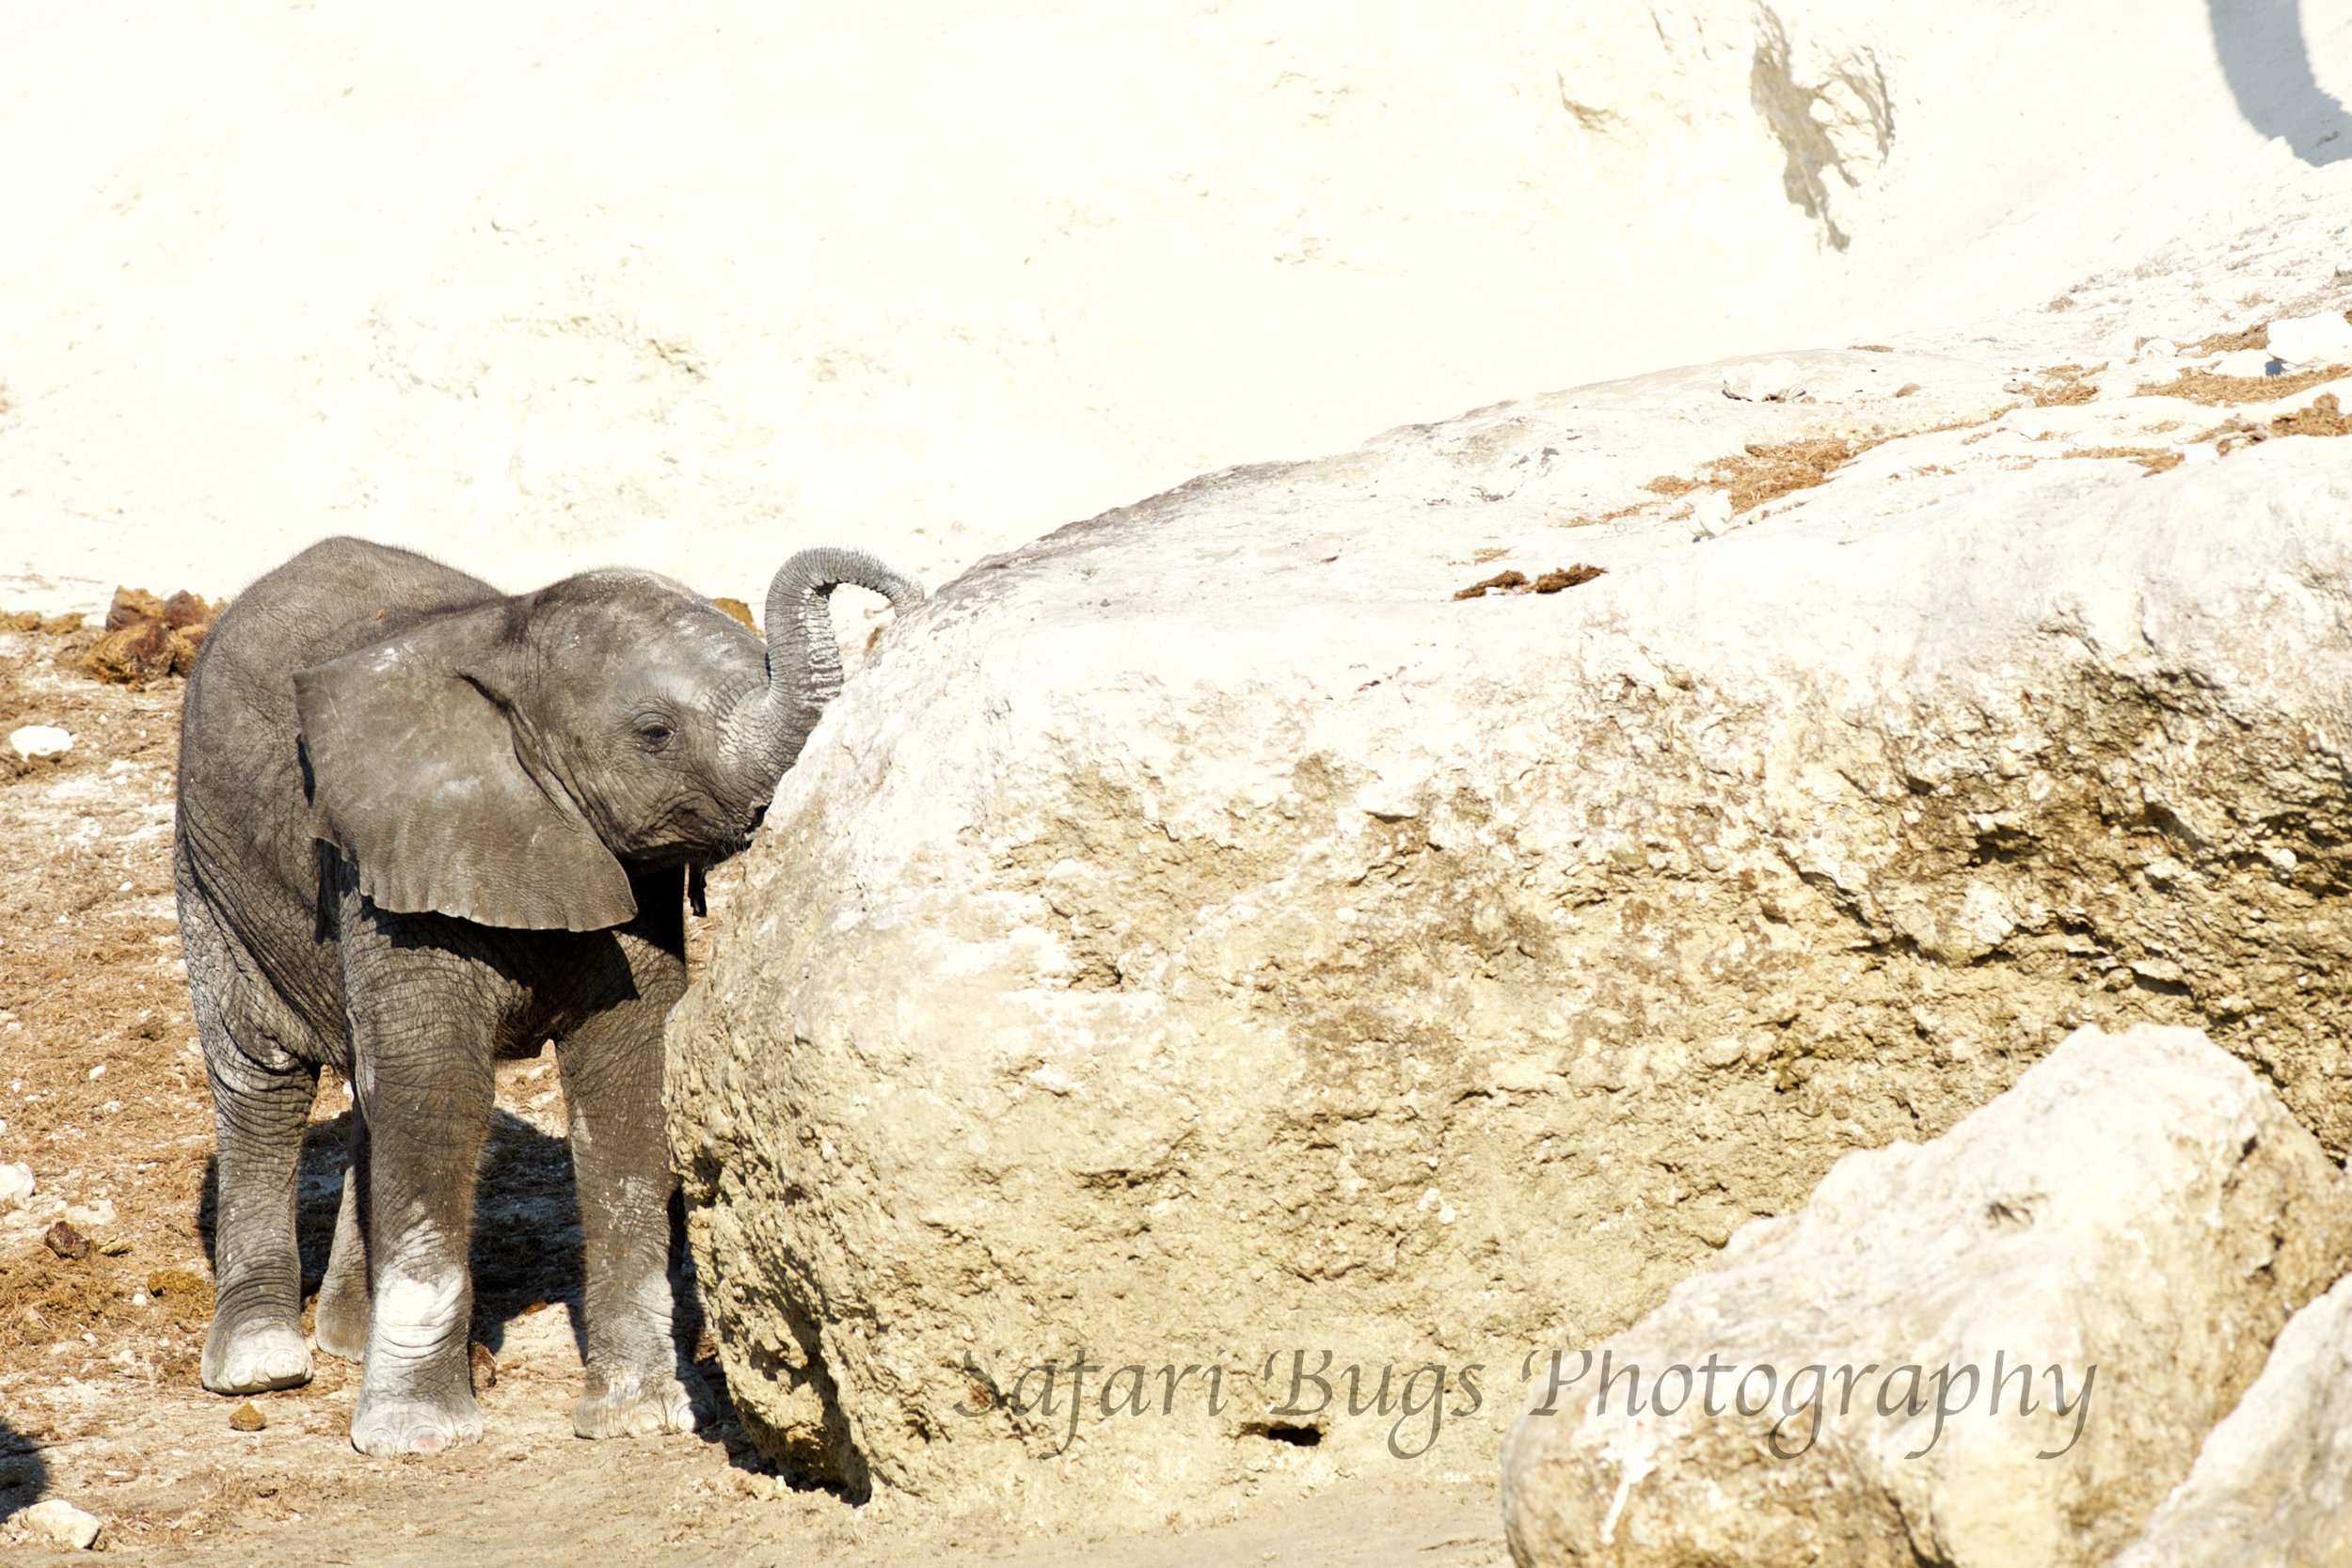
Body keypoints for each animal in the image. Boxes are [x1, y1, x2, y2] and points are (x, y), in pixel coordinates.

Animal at [176, 535, 917, 1457]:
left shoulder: (626, 872)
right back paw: (263, 1365)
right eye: (654, 733)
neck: (507, 641)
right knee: (263, 1077)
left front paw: (639, 1418)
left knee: (366, 1087)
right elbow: (439, 1089)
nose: (899, 592)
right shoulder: (395, 861)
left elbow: (628, 1077)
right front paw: (418, 1436)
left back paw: (347, 1340)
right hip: (212, 865)